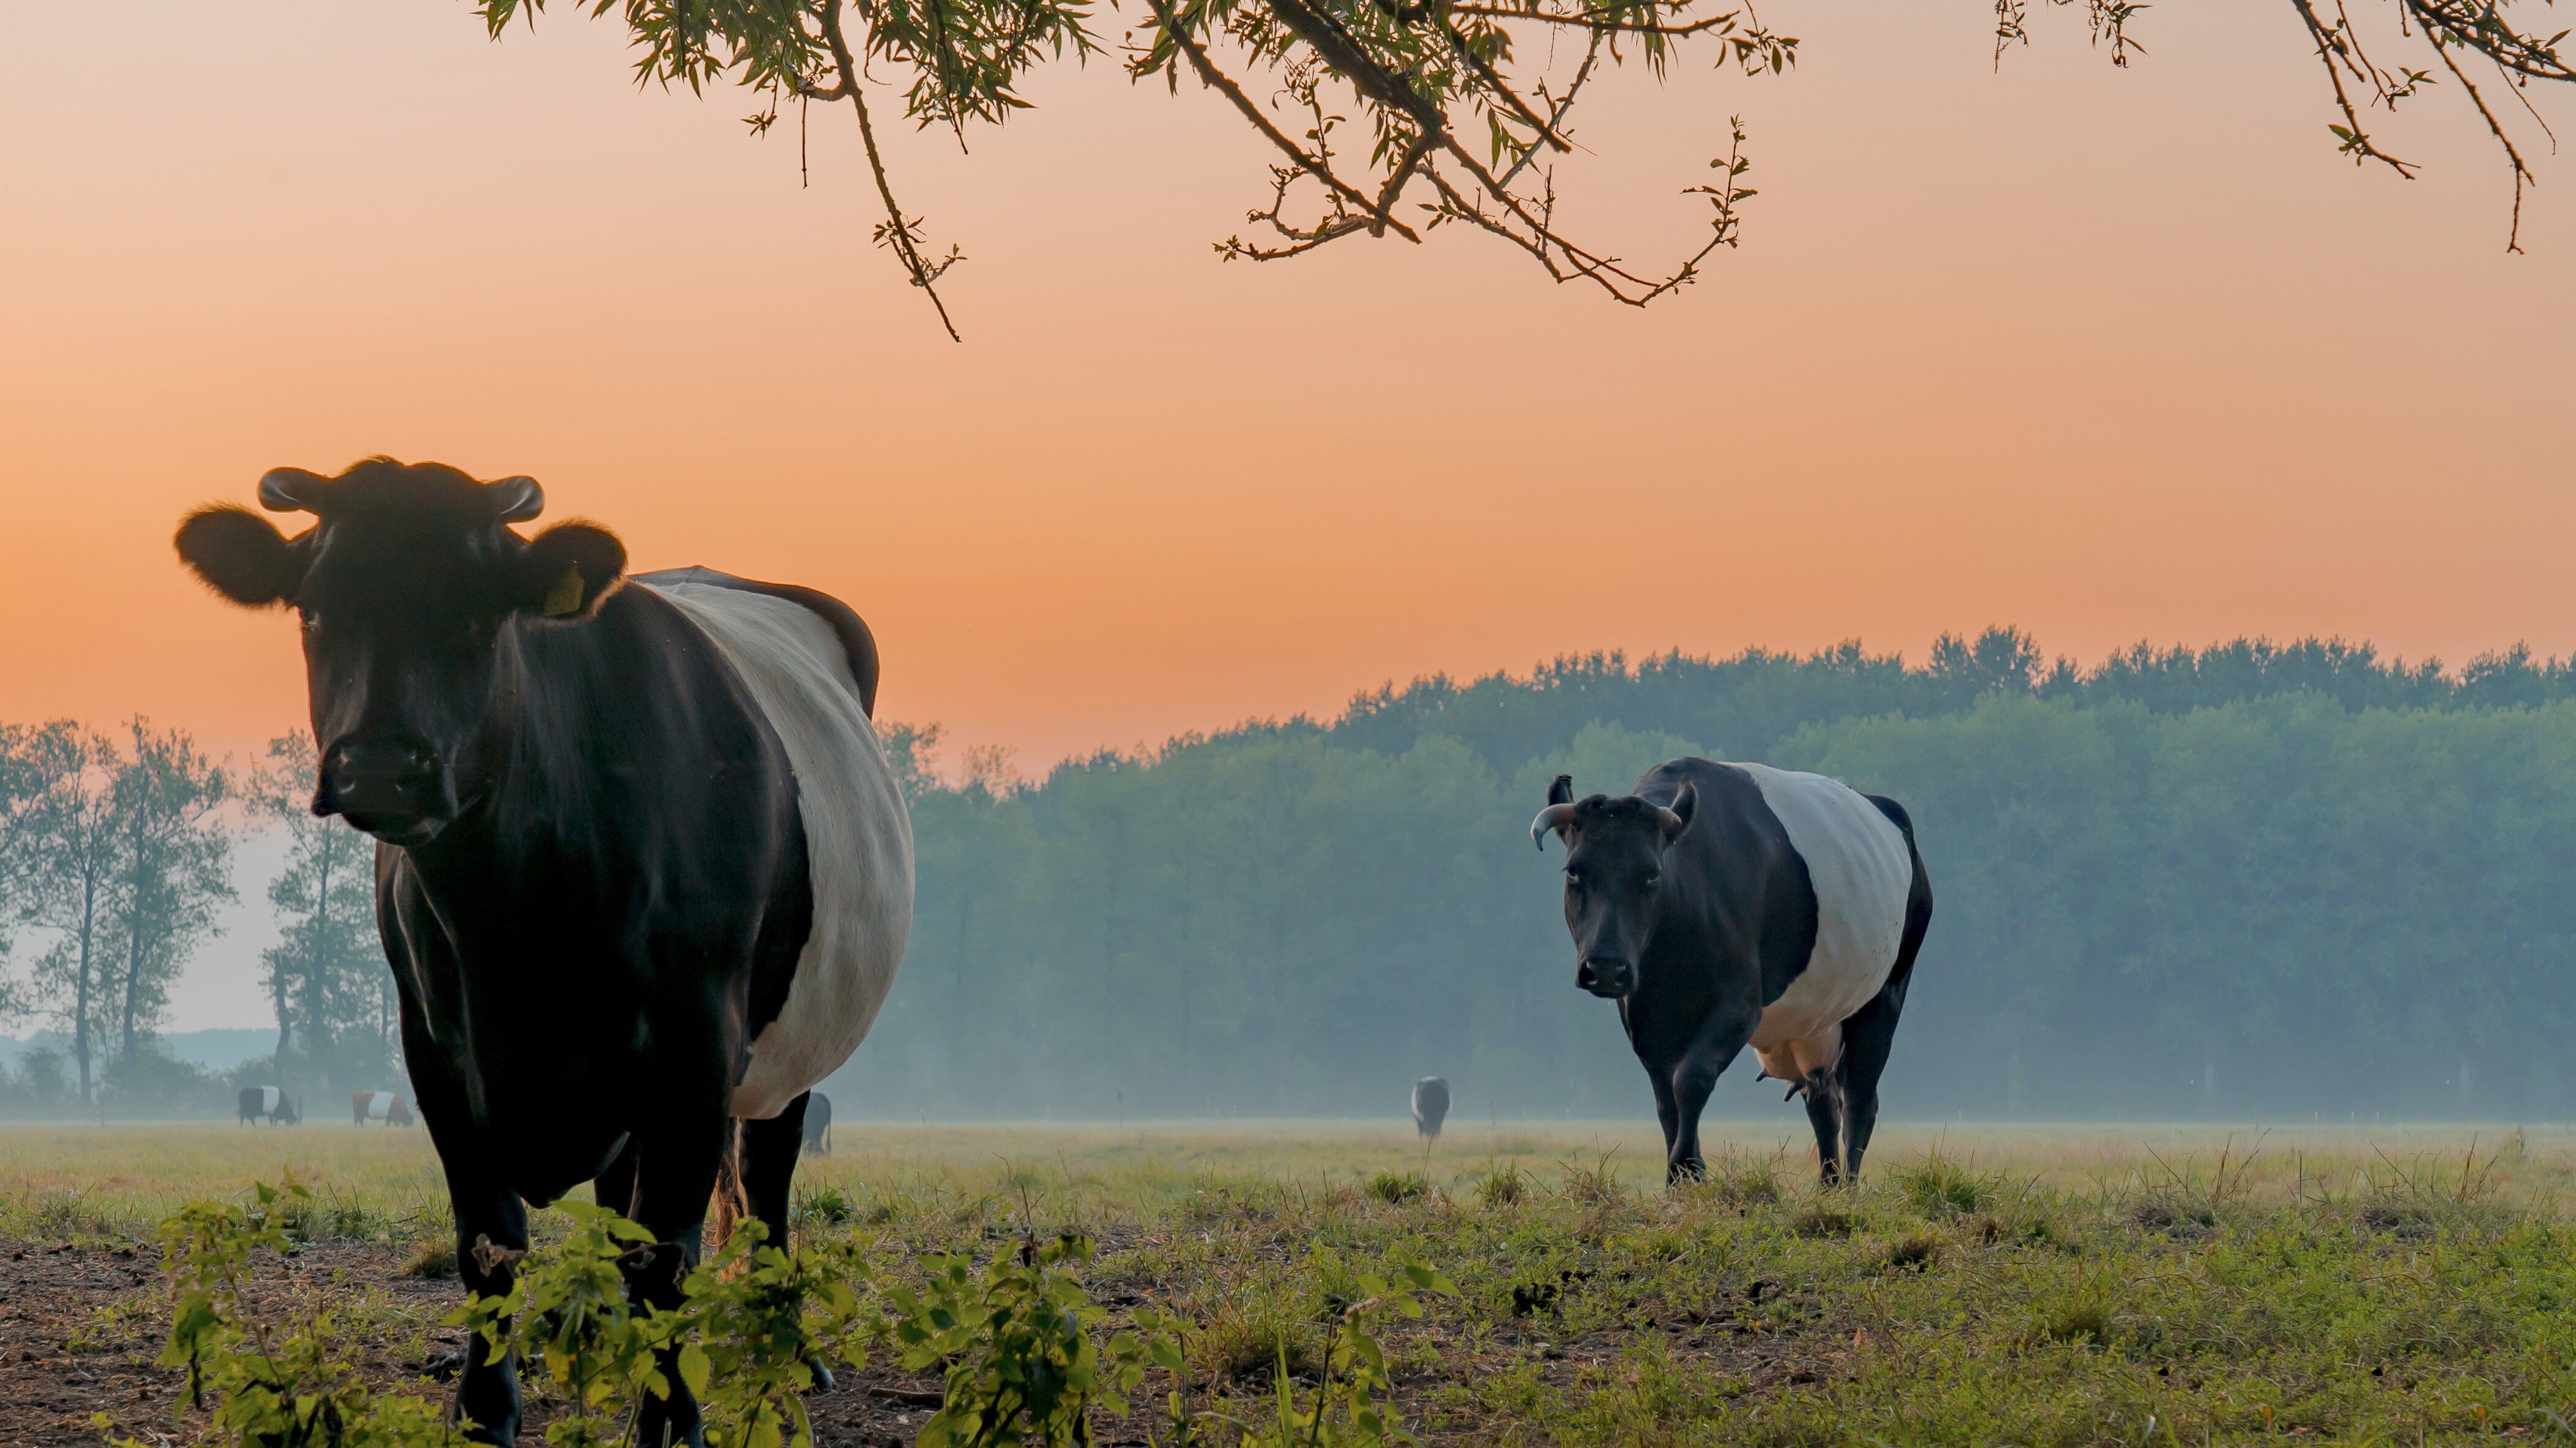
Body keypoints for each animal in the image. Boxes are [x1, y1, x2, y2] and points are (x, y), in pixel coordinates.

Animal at [174, 461, 917, 1442]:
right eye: (315, 608)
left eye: (482, 612)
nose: (381, 766)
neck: (519, 921)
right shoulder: (436, 1049)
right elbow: (489, 1239)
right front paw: (486, 1410)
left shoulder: (698, 1044)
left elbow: (666, 1252)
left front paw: (671, 1416)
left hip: (786, 1045)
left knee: (766, 1176)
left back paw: (785, 1344)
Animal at [1524, 763, 1937, 1179]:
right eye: (1574, 871)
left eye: (1652, 873)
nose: (1606, 967)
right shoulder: (1642, 1016)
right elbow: (1666, 1101)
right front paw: (1686, 1173)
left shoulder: (1740, 1005)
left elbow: (1691, 1081)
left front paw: (1683, 1169)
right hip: (1813, 1026)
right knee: (1823, 1102)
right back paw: (1828, 1184)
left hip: (1886, 993)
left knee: (1860, 1103)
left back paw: (1849, 1186)